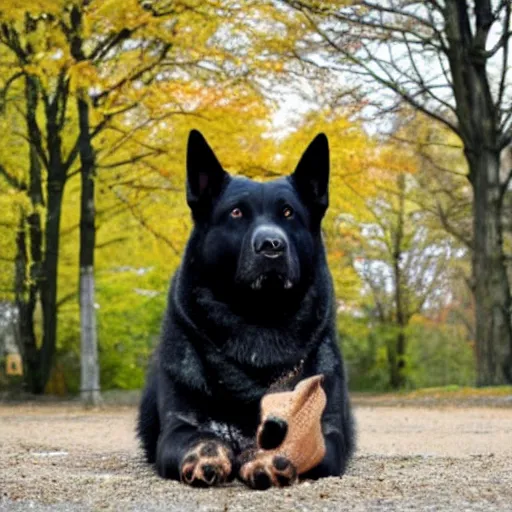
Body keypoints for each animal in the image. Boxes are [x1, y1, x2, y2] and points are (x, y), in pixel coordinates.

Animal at [137, 128, 356, 488]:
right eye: (236, 213)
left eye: (288, 213)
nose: (271, 245)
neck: (258, 317)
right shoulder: (177, 428)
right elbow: (198, 436)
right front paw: (206, 456)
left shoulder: (328, 432)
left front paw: (266, 457)